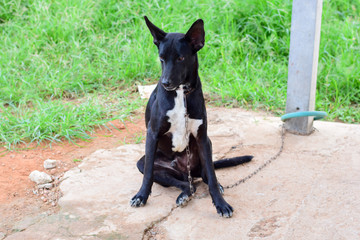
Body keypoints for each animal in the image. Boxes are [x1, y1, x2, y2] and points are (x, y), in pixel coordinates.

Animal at [130, 15, 253, 218]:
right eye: (161, 58)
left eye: (180, 58)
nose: (165, 83)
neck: (181, 94)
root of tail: (183, 169)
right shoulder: (152, 134)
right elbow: (148, 175)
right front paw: (141, 196)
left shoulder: (203, 138)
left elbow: (211, 177)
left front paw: (220, 204)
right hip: (148, 163)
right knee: (185, 184)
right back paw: (183, 194)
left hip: (206, 150)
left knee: (205, 176)